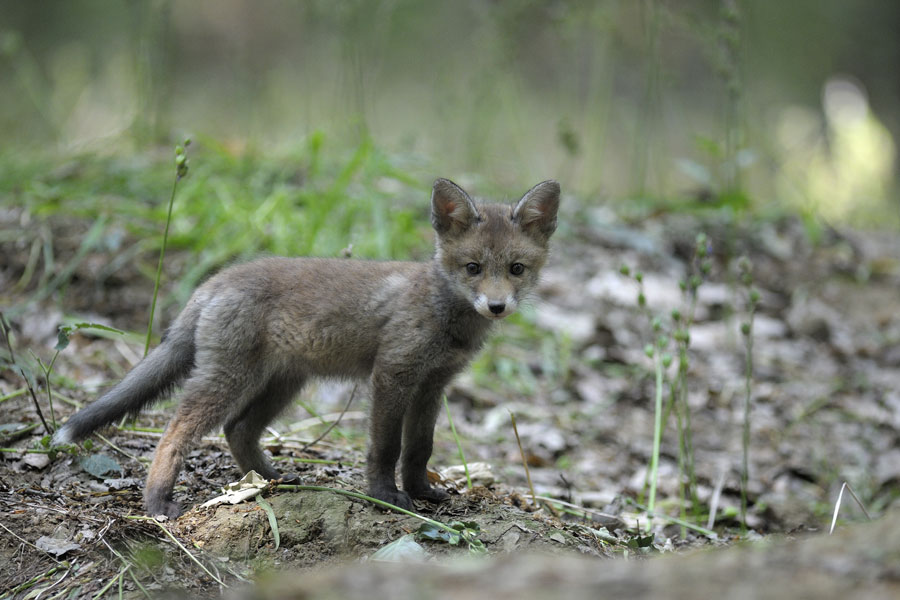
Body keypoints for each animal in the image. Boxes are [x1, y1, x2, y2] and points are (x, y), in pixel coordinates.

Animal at [52, 177, 560, 516]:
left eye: (516, 269)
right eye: (473, 267)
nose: (496, 306)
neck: (443, 314)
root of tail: (215, 280)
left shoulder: (433, 385)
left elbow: (419, 448)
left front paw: (420, 493)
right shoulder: (393, 375)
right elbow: (385, 448)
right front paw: (385, 497)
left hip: (282, 384)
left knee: (238, 430)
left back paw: (269, 479)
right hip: (229, 380)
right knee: (175, 433)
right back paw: (159, 502)